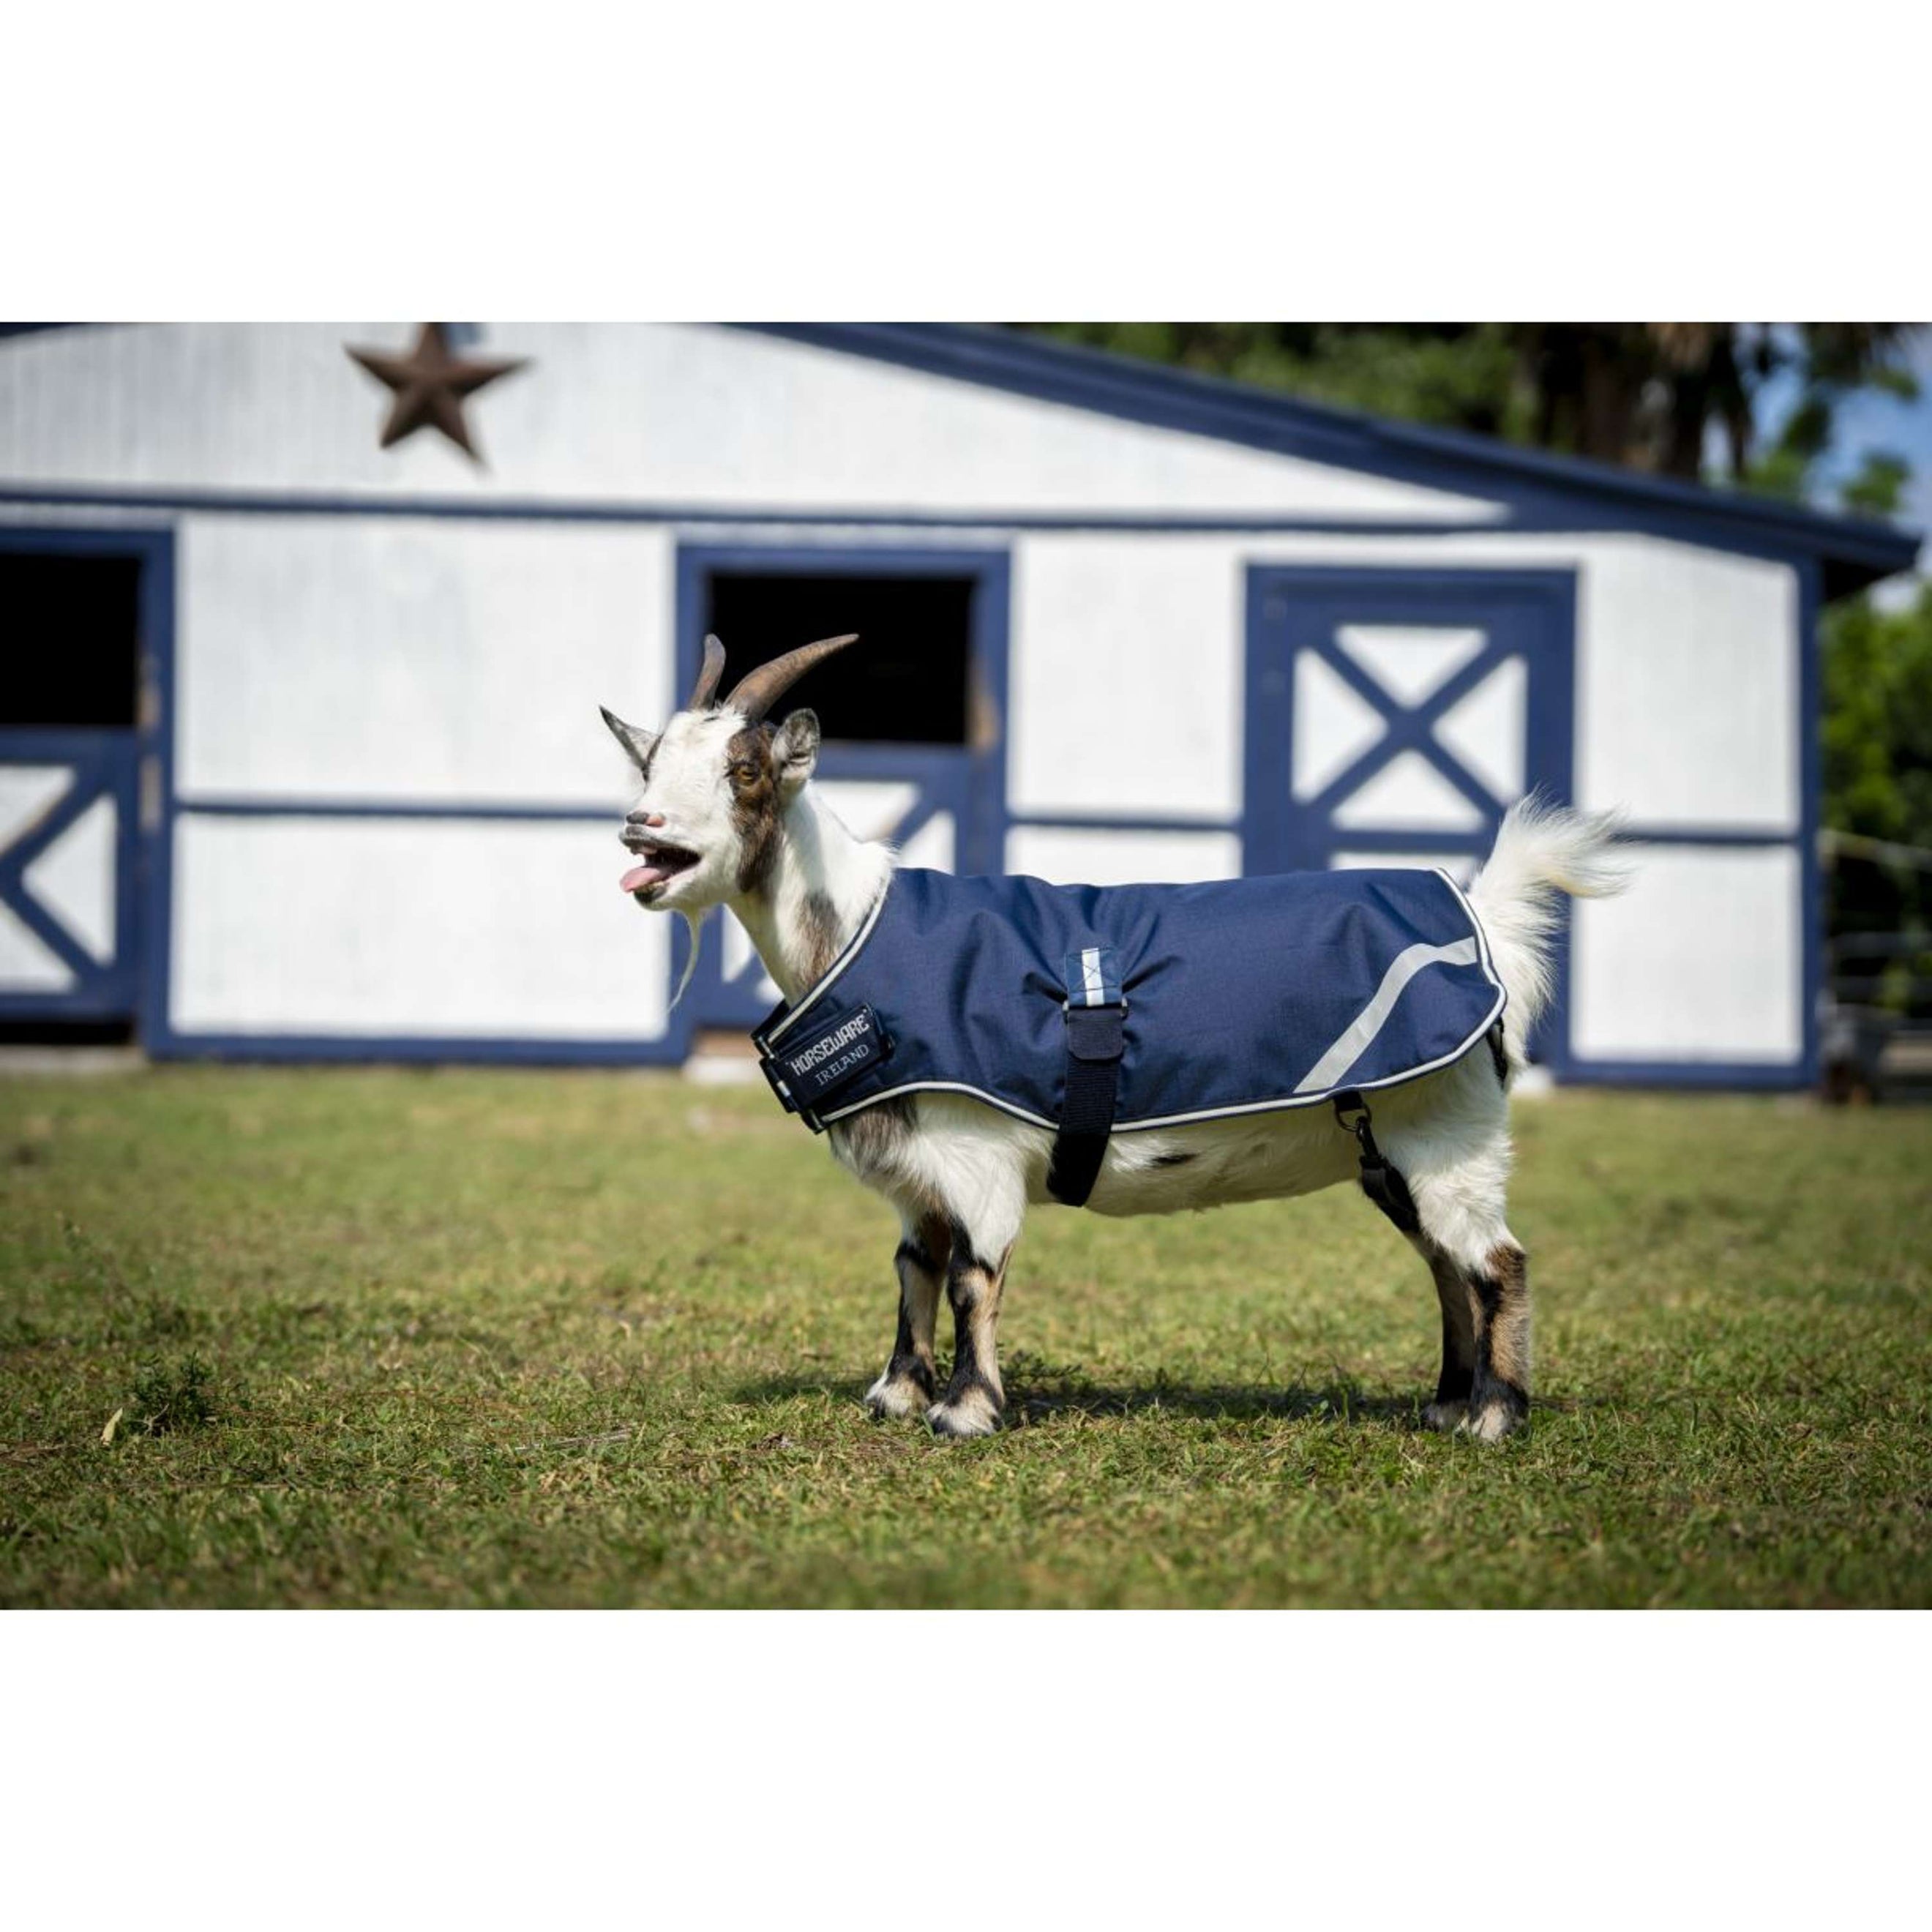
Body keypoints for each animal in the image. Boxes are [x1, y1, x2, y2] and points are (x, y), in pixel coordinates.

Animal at [602, 632, 1629, 1441]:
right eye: (649, 764)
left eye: (744, 771)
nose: (639, 829)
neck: (859, 928)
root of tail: (1482, 917)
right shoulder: (916, 1175)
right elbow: (913, 1269)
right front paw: (896, 1394)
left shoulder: (976, 1154)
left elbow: (973, 1276)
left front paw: (966, 1412)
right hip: (1392, 1150)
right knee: (1446, 1266)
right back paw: (1447, 1404)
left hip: (1448, 1129)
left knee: (1495, 1262)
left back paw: (1494, 1417)